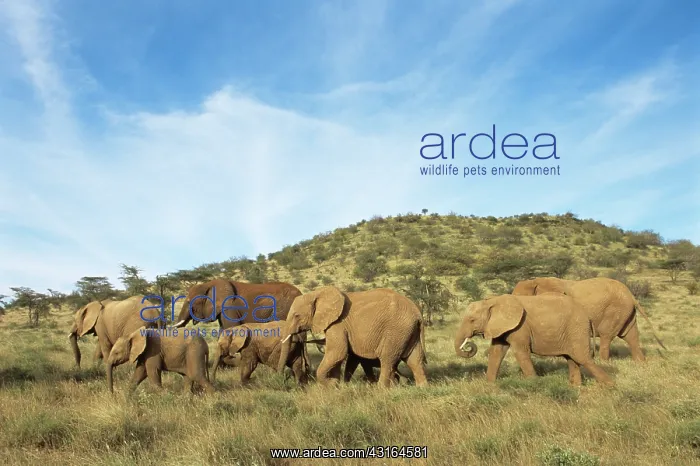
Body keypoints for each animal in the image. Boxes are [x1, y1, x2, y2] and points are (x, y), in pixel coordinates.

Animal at [277, 286, 428, 388]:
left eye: (297, 316)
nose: (281, 378)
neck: (318, 293)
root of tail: (417, 313)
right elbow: (345, 358)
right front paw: (338, 385)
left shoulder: (337, 324)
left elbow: (338, 352)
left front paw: (331, 384)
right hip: (408, 331)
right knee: (414, 359)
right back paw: (421, 387)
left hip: (396, 330)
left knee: (387, 359)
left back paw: (380, 389)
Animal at [455, 293, 614, 386]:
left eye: (472, 320)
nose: (468, 345)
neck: (492, 301)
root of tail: (588, 316)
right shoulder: (501, 327)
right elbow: (496, 352)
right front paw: (489, 385)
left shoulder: (520, 327)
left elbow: (520, 352)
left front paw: (533, 384)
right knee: (572, 359)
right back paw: (576, 387)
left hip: (577, 329)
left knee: (582, 358)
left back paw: (609, 386)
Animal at [512, 277, 666, 361]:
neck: (536, 281)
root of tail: (632, 296)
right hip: (626, 313)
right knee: (631, 336)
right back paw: (641, 362)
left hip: (615, 310)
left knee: (606, 335)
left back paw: (603, 362)